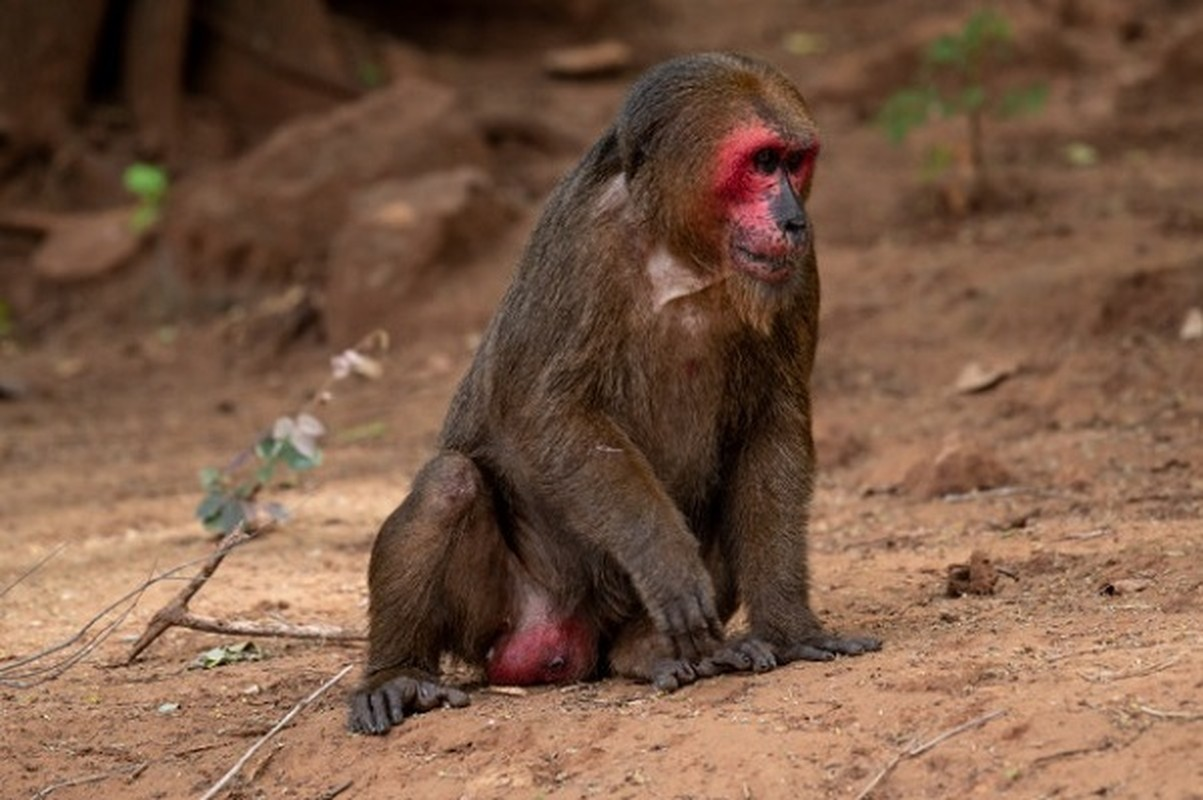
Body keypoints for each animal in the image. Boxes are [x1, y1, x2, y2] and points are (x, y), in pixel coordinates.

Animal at [346, 51, 875, 736]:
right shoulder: (582, 243)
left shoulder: (798, 268)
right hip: (509, 613)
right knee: (448, 483)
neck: (684, 257)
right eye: (761, 163)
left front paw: (789, 628)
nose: (793, 219)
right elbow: (548, 413)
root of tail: (575, 633)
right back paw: (397, 674)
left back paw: (646, 651)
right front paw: (666, 558)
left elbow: (772, 425)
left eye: (794, 161)